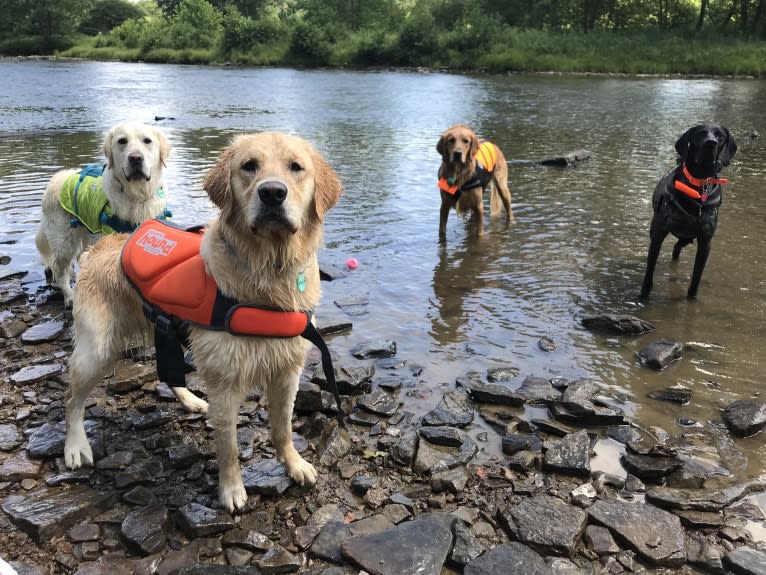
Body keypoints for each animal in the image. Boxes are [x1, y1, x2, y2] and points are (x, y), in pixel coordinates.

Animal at [35, 123, 171, 308]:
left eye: (147, 141)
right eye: (122, 141)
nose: (135, 158)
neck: (136, 197)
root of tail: (55, 179)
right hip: (64, 240)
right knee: (59, 268)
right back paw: (69, 296)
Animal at [64, 134, 340, 512]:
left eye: (296, 167)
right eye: (249, 166)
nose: (272, 193)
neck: (268, 270)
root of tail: (104, 243)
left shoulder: (288, 369)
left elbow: (283, 427)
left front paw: (294, 464)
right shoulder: (226, 381)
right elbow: (229, 446)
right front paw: (232, 489)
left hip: (164, 328)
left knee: (168, 371)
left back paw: (190, 399)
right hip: (97, 348)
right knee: (72, 398)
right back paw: (75, 446)